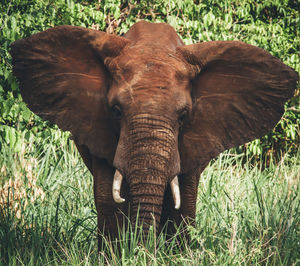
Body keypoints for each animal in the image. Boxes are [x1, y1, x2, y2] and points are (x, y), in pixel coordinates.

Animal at [9, 20, 298, 247]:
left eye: (183, 115)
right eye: (116, 111)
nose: (146, 249)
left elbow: (184, 199)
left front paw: (178, 254)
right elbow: (109, 197)